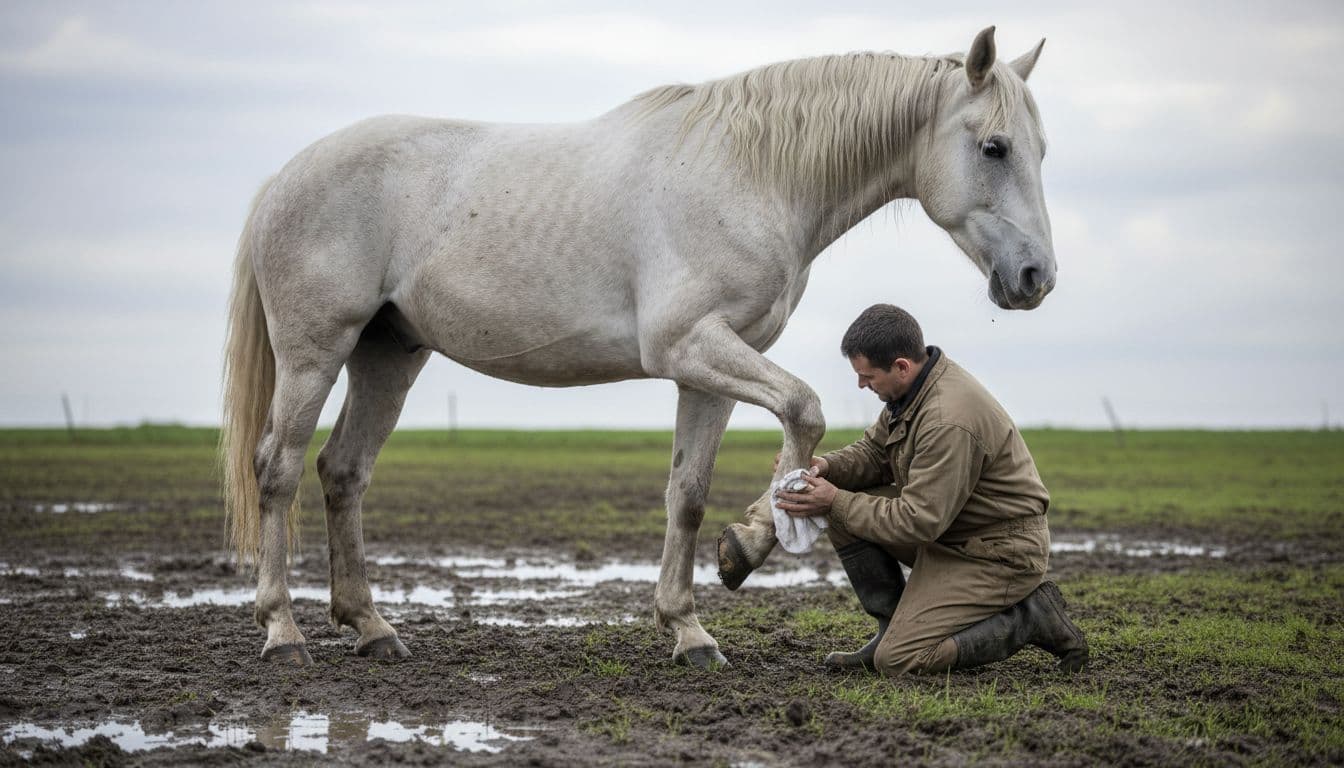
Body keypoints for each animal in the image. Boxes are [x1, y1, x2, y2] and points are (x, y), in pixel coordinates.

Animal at [221, 26, 1055, 670]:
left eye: (1039, 149)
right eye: (993, 147)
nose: (1036, 277)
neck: (752, 173)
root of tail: (281, 178)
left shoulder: (710, 372)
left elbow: (688, 493)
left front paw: (692, 625)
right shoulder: (691, 346)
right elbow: (806, 409)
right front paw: (756, 539)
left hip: (388, 355)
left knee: (343, 472)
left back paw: (371, 628)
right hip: (314, 353)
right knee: (279, 469)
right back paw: (283, 632)